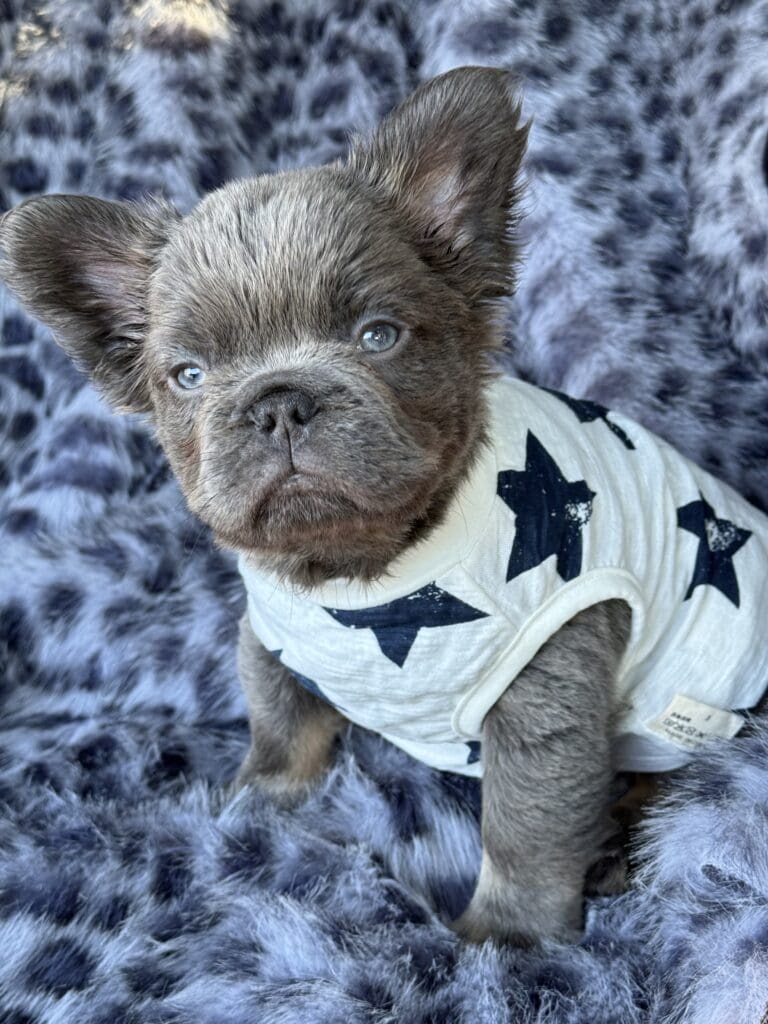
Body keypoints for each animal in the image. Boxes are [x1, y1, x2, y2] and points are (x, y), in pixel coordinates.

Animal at [1, 66, 768, 942]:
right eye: (189, 376)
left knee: (687, 779)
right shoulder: (269, 643)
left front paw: (509, 936)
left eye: (378, 337)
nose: (278, 403)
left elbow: (527, 826)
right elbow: (280, 724)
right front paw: (258, 803)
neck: (366, 570)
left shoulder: (543, 702)